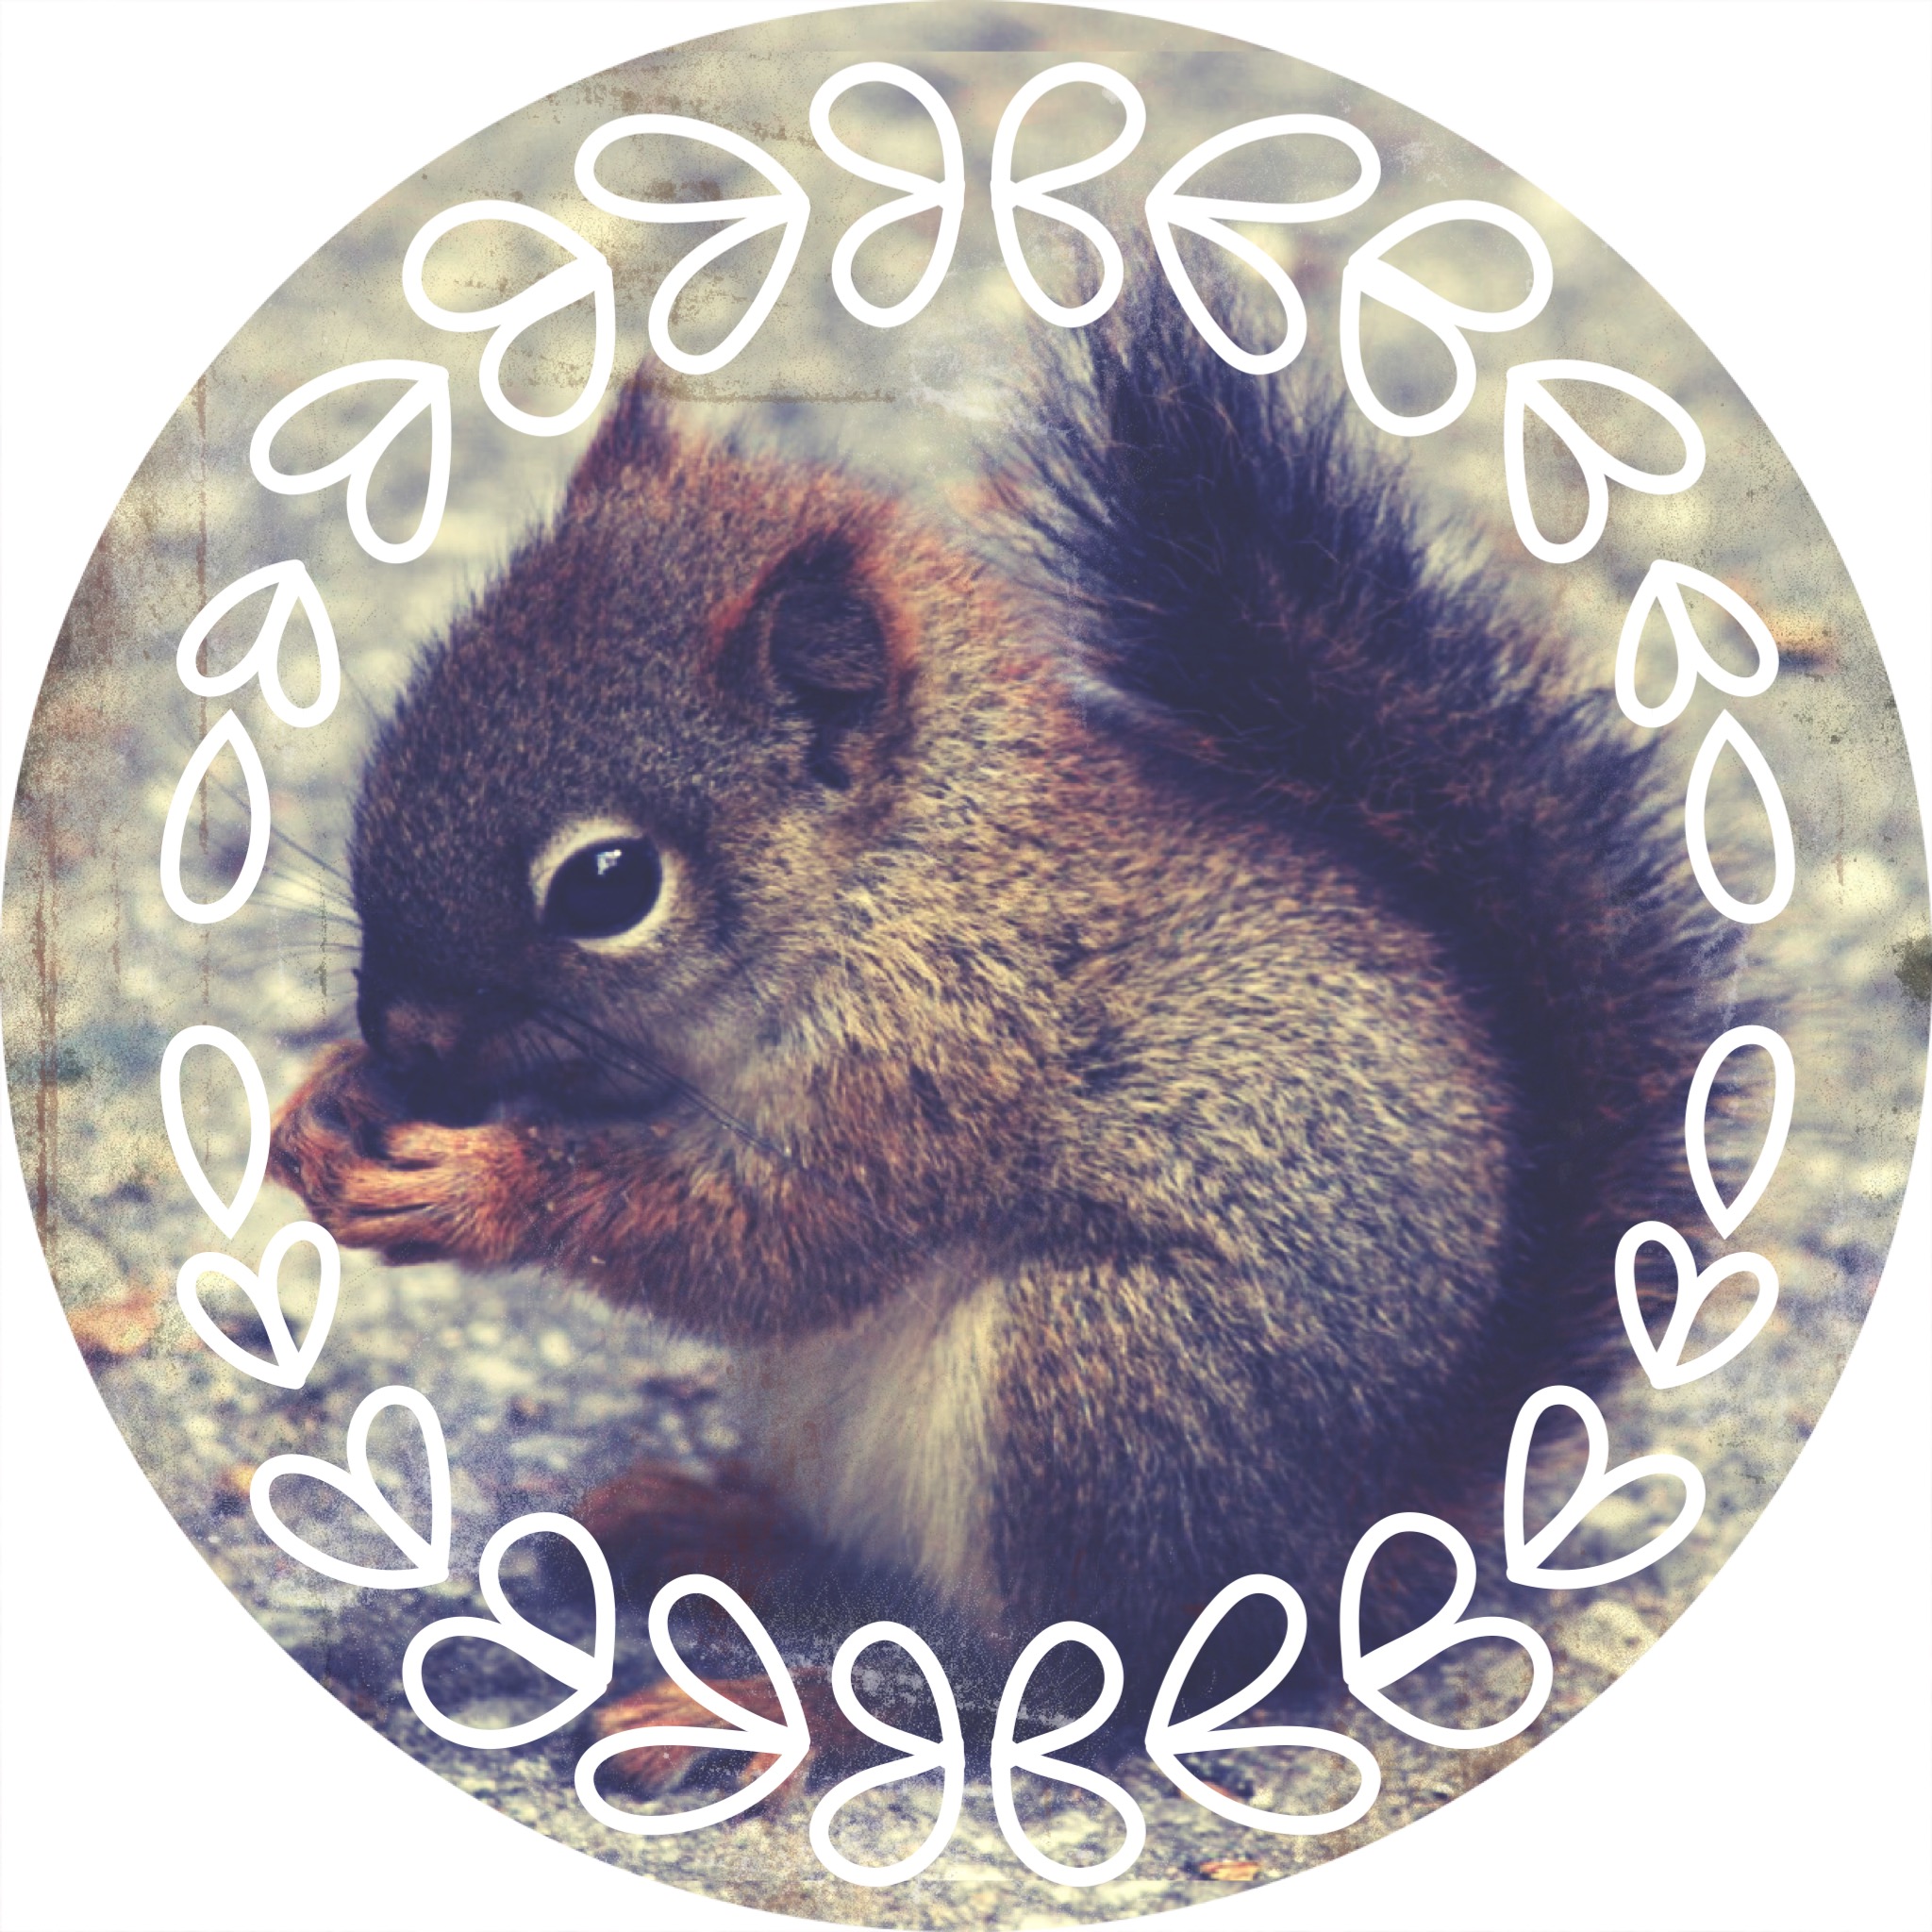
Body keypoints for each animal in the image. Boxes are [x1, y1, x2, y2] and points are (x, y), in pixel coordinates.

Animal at [268, 292, 1712, 1743]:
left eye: (608, 884)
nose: (404, 1031)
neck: (899, 878)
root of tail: (1361, 1553)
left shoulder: (944, 1062)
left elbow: (775, 1246)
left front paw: (475, 1187)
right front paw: (325, 1106)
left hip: (1107, 1383)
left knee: (1070, 1677)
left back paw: (783, 1709)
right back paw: (701, 1524)